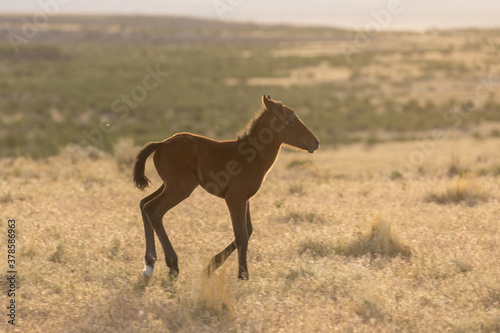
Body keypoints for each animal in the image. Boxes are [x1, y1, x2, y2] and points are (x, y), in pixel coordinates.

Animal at [133, 94, 320, 278]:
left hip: (168, 184)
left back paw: (149, 264)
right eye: (290, 120)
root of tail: (161, 144)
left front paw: (212, 265)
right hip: (181, 187)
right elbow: (241, 235)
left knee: (143, 204)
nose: (315, 142)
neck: (251, 156)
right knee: (154, 210)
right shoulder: (235, 198)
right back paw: (172, 265)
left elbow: (248, 231)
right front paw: (242, 275)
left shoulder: (245, 199)